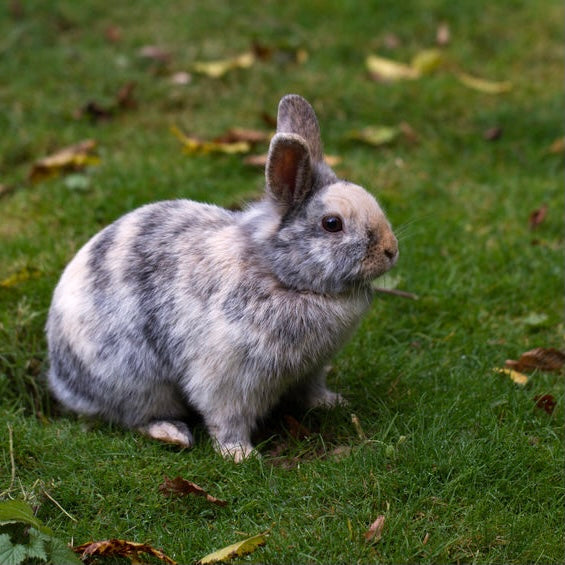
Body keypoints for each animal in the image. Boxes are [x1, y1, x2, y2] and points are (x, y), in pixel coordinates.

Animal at [46, 92, 398, 460]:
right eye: (332, 224)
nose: (391, 250)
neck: (279, 275)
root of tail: (60, 377)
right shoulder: (227, 378)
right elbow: (227, 418)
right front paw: (240, 455)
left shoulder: (311, 369)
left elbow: (311, 391)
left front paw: (333, 403)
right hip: (138, 383)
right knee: (135, 416)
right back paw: (172, 434)